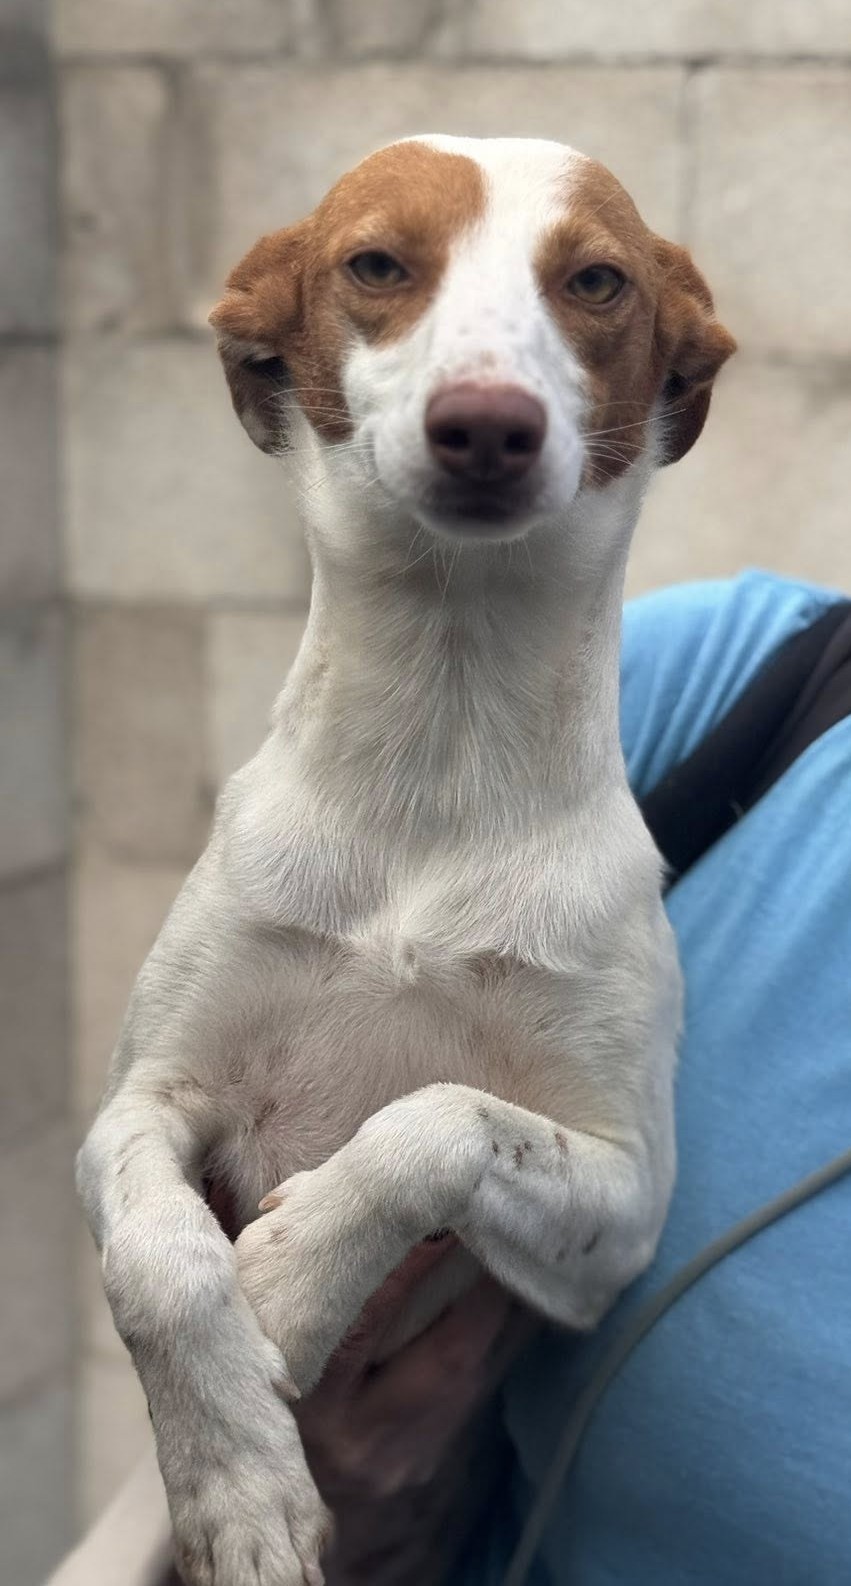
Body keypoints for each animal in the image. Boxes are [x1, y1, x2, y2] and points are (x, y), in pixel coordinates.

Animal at [77, 134, 735, 1586]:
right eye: (375, 262)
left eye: (594, 280)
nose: (486, 422)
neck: (438, 758)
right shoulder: (145, 1098)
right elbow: (159, 1260)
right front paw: (237, 1486)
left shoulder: (622, 1202)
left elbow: (435, 1121)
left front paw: (285, 1279)